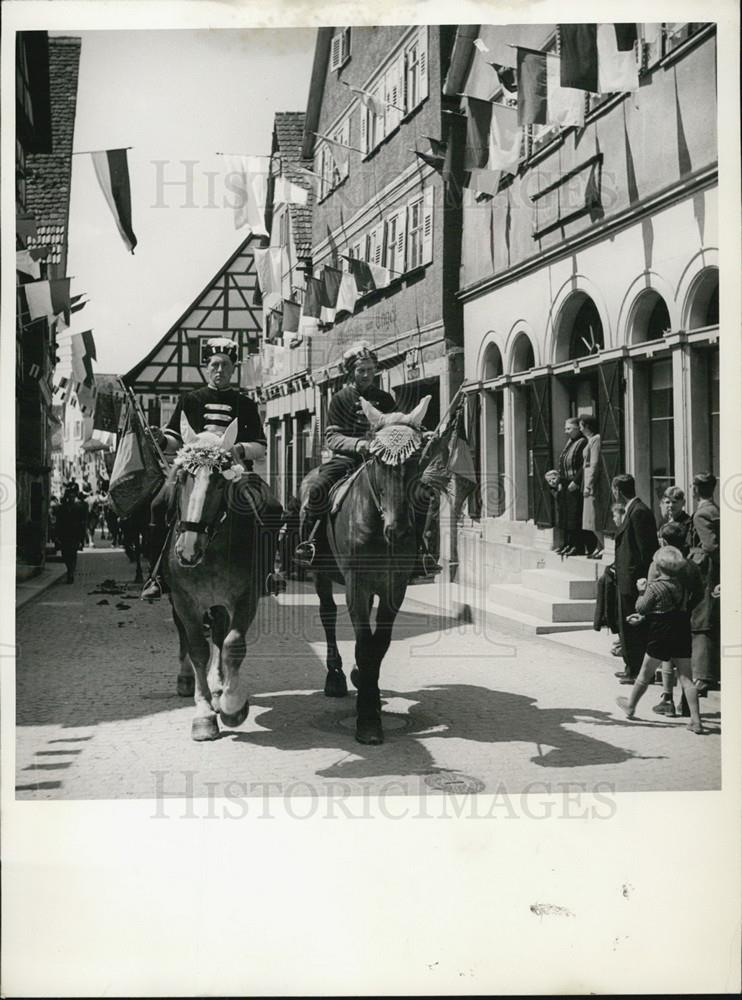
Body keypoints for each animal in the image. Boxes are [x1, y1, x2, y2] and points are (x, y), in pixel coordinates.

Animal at [166, 414, 282, 744]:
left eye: (219, 481)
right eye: (183, 477)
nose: (187, 551)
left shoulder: (245, 597)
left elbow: (232, 644)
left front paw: (232, 705)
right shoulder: (184, 601)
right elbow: (197, 648)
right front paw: (204, 714)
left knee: (219, 635)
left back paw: (219, 688)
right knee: (186, 637)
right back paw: (187, 680)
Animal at [300, 394, 434, 748]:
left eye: (417, 458)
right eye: (376, 460)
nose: (398, 531)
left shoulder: (394, 587)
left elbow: (378, 645)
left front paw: (368, 691)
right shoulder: (356, 587)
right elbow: (363, 644)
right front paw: (368, 718)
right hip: (320, 574)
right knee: (328, 615)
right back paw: (334, 676)